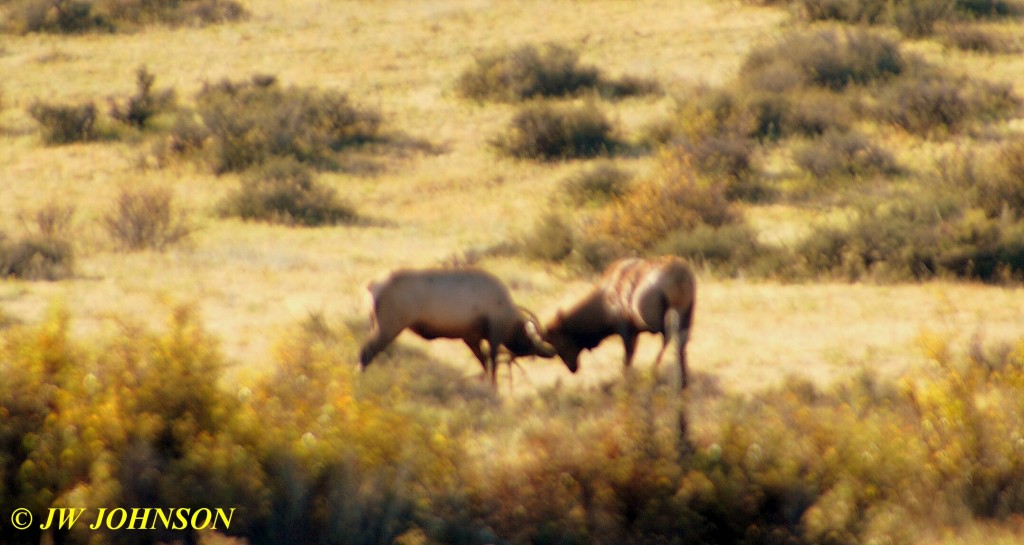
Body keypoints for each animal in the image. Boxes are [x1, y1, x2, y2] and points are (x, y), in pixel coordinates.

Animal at [358, 266, 557, 385]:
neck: (509, 320)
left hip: (376, 325)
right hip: (389, 326)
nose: (550, 352)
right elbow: (492, 364)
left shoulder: (471, 337)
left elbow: (484, 363)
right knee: (366, 352)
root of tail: (370, 287)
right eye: (531, 340)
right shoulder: (494, 333)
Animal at [544, 255, 696, 387]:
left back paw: (654, 372)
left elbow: (627, 357)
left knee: (669, 340)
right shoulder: (635, 331)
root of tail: (680, 275)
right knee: (681, 344)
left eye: (559, 341)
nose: (572, 367)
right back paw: (683, 382)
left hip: (669, 317)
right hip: (686, 316)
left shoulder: (626, 329)